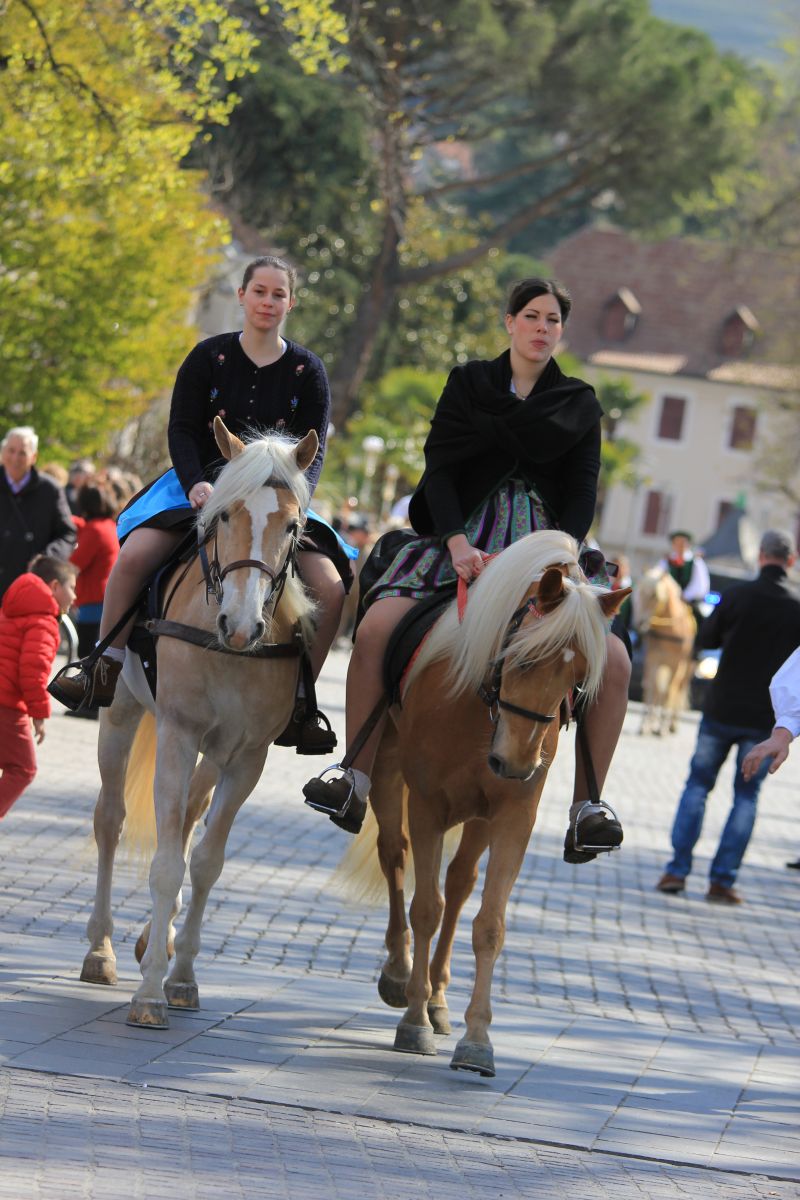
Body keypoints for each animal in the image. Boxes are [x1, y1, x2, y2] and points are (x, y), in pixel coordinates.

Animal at [79, 417, 318, 1028]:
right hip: (121, 715)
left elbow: (206, 860)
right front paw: (148, 994)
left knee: (188, 818)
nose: (241, 624)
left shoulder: (247, 756)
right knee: (110, 820)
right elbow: (166, 861)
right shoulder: (178, 735)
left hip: (214, 752)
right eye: (225, 514)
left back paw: (153, 941)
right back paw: (102, 948)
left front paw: (181, 974)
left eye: (292, 525)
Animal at [338, 530, 629, 1078]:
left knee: (459, 883)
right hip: (388, 774)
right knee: (395, 856)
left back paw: (437, 998)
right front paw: (413, 1023)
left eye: (578, 678)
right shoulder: (427, 804)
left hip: (478, 817)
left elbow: (489, 923)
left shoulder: (514, 816)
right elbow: (424, 908)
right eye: (525, 656)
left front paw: (476, 1040)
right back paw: (401, 976)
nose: (515, 762)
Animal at [633, 566, 695, 736]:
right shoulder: (653, 659)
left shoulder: (676, 664)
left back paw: (671, 724)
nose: (639, 624)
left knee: (678, 689)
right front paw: (645, 724)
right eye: (639, 592)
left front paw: (662, 727)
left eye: (655, 595)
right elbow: (650, 688)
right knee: (658, 691)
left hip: (686, 669)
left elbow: (669, 692)